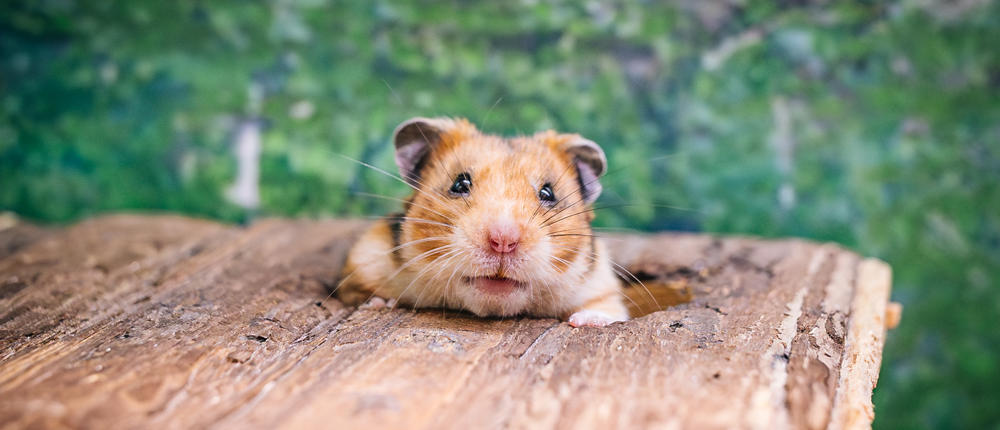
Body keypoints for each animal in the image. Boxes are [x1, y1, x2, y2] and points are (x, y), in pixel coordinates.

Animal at [337, 117, 628, 327]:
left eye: (548, 193)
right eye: (459, 184)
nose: (503, 241)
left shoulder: (601, 287)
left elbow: (606, 309)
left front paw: (587, 322)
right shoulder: (365, 262)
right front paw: (380, 303)